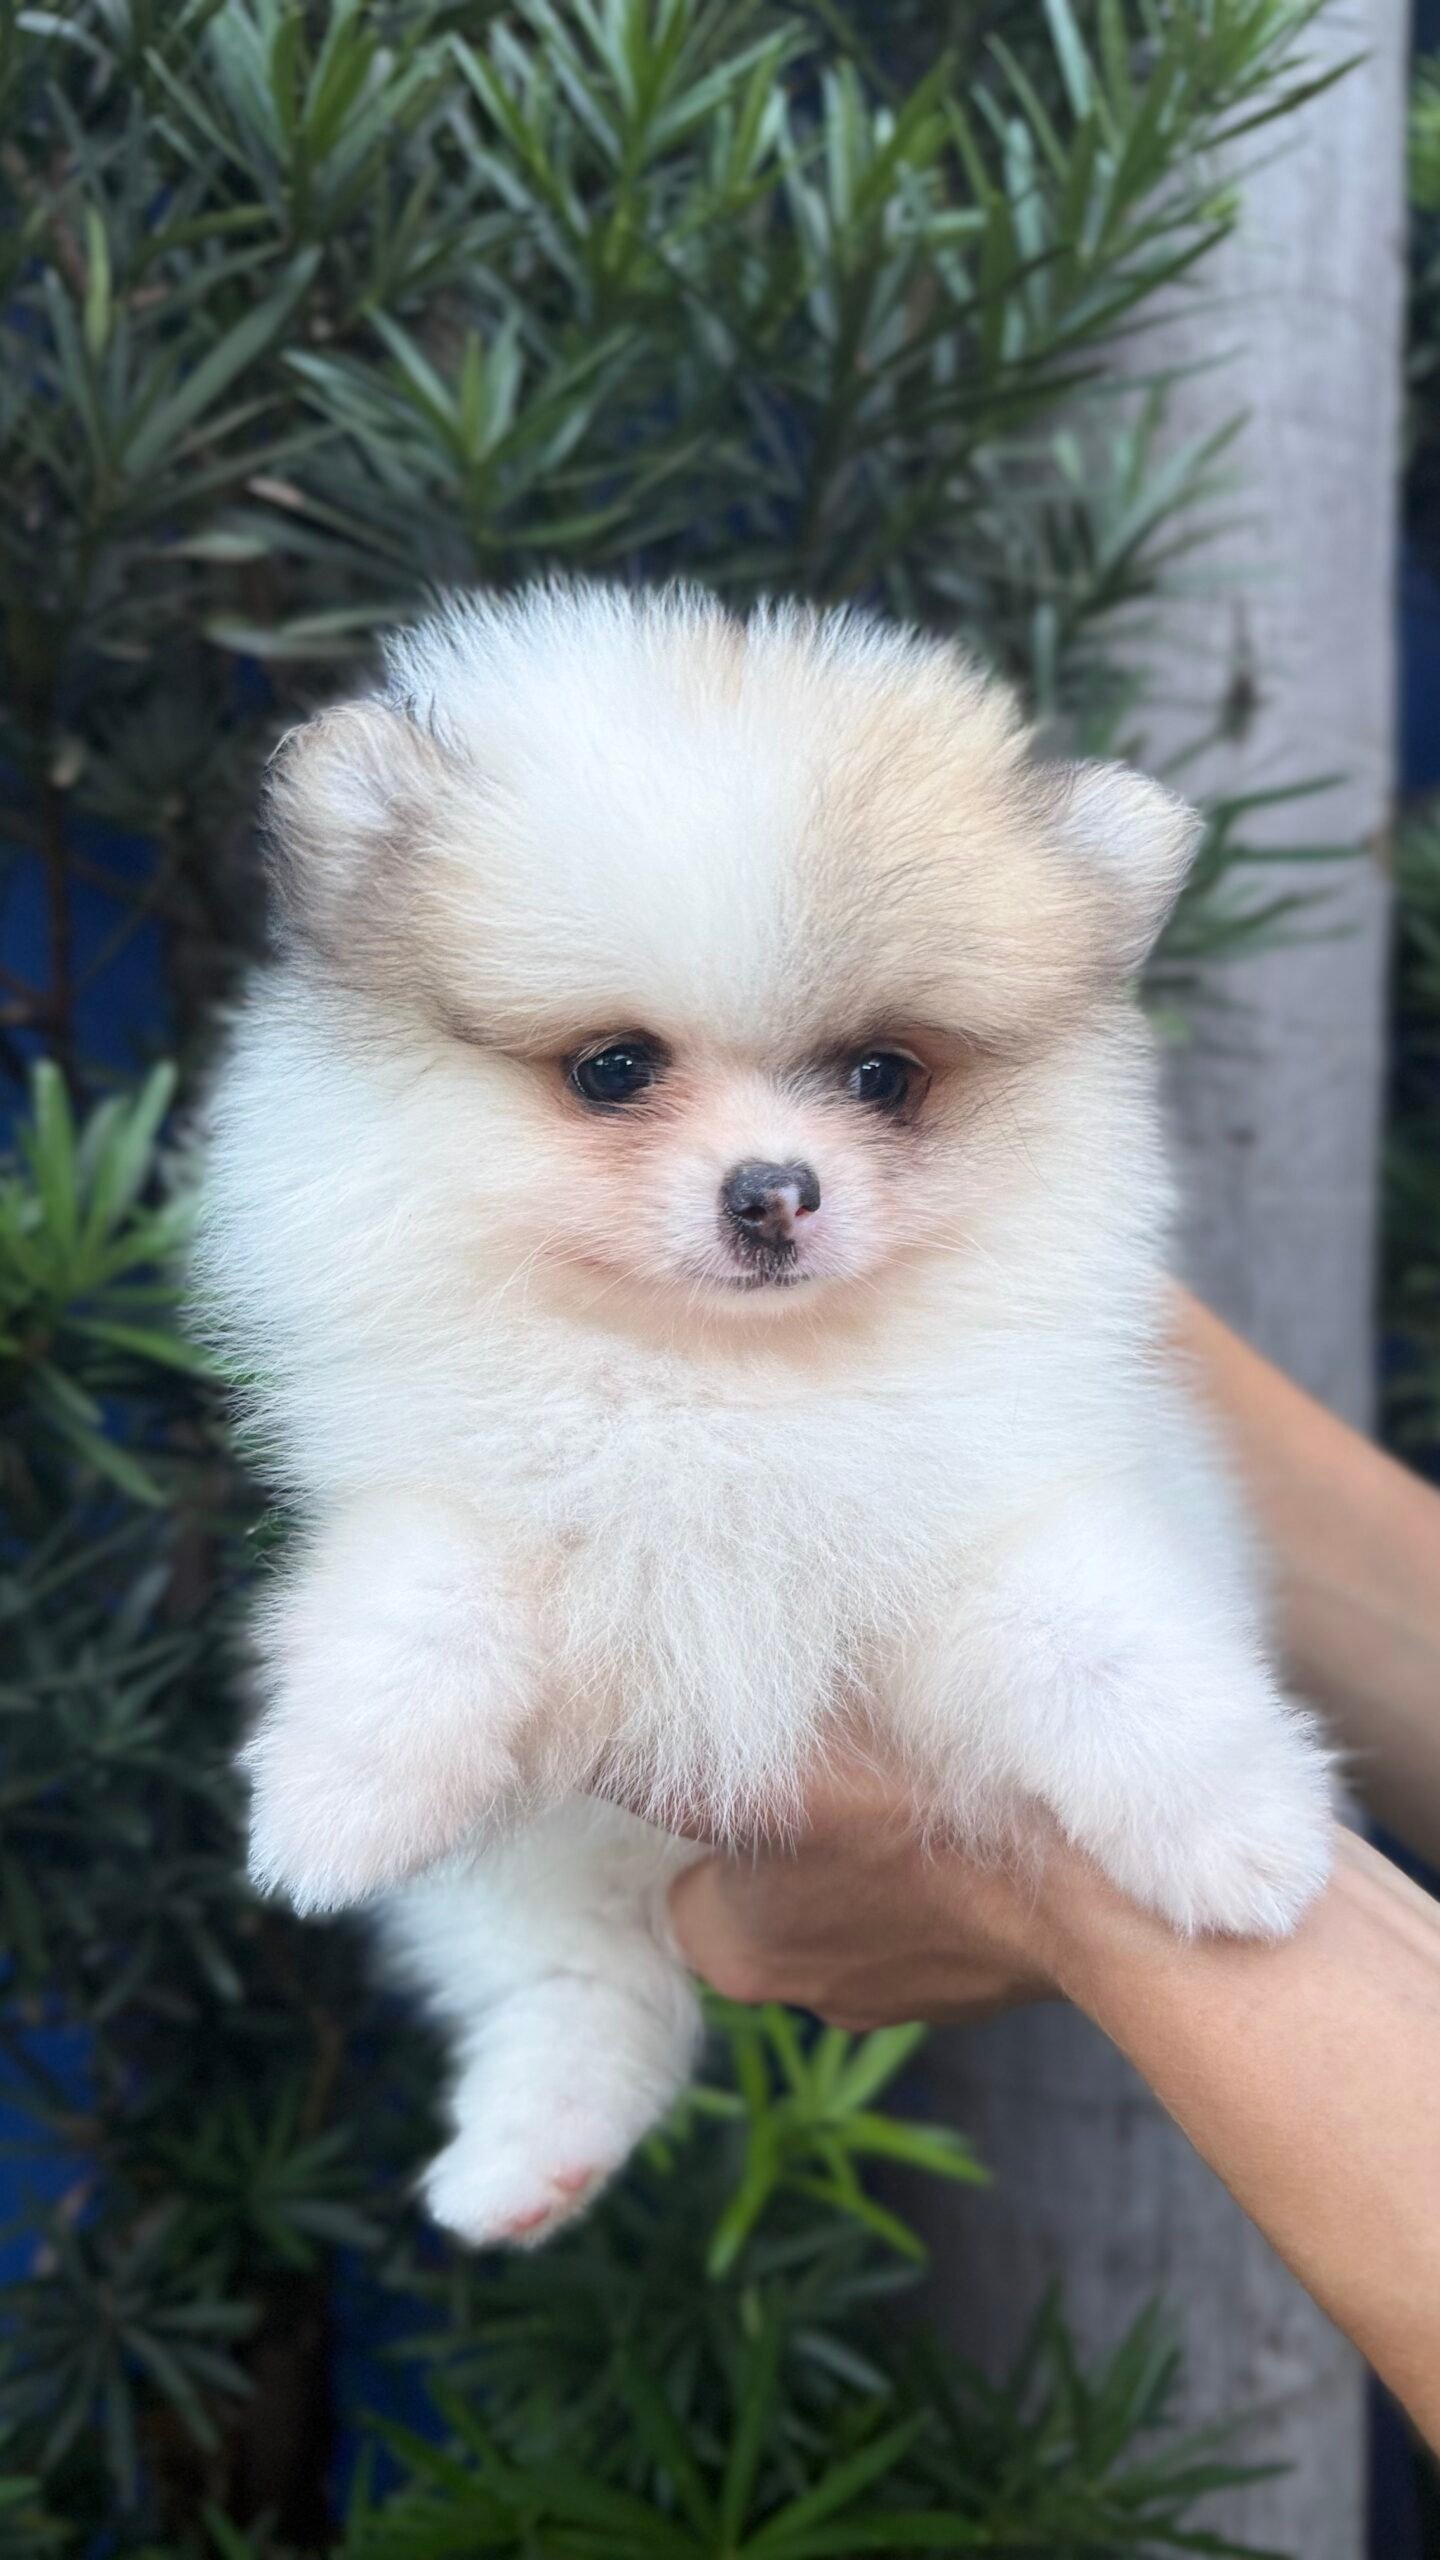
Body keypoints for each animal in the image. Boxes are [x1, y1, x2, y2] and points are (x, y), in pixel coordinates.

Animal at [196, 581, 1333, 2248]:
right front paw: (331, 1803)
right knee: (576, 1976)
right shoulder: (454, 1493)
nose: (773, 1191)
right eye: (614, 1070)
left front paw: (1249, 1839)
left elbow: (1111, 1649)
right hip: (541, 1859)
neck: (724, 1380)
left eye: (883, 1076)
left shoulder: (1001, 1515)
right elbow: (423, 1603)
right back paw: (526, 2160)